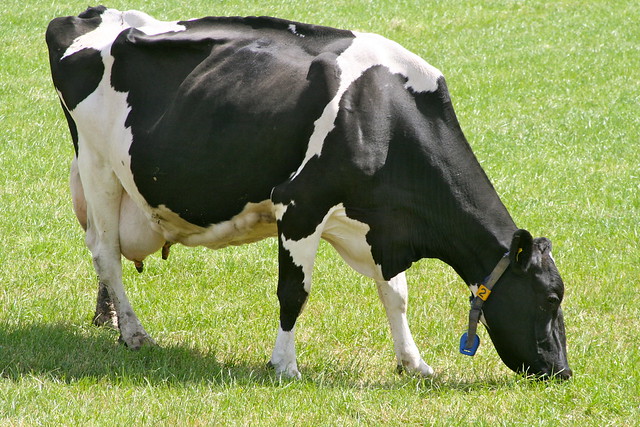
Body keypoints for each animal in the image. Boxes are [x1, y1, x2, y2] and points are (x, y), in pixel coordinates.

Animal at [47, 6, 572, 382]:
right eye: (550, 298)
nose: (562, 371)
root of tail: (86, 15)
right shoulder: (299, 204)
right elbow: (293, 292)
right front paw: (285, 365)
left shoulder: (377, 225)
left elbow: (396, 293)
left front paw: (413, 363)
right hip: (98, 166)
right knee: (105, 251)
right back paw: (134, 333)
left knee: (107, 252)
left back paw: (109, 321)